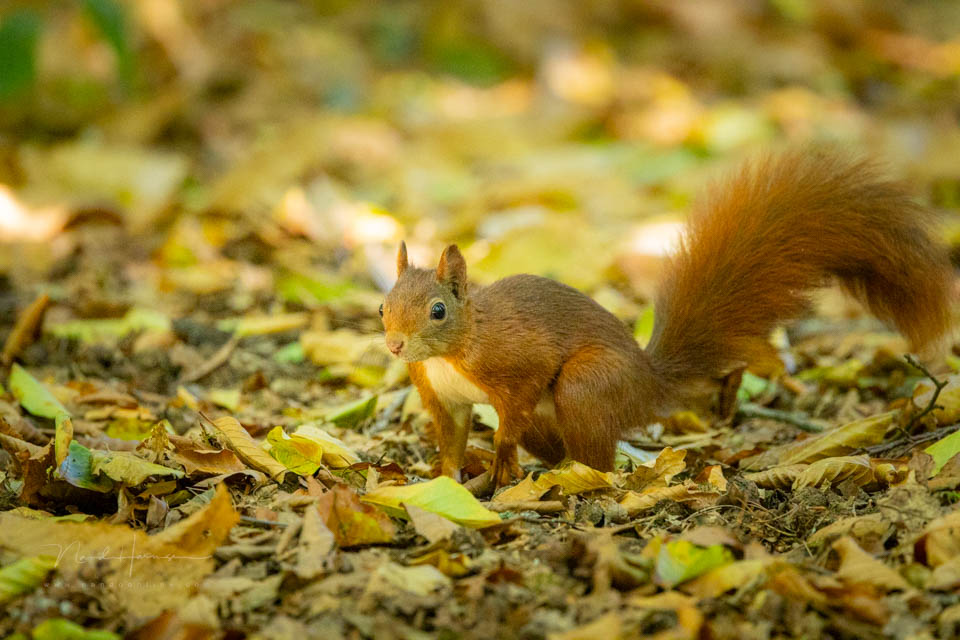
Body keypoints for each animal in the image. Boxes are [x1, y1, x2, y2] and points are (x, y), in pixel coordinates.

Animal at [380, 149, 954, 487]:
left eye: (438, 311)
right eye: (383, 305)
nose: (395, 345)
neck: (457, 349)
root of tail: (647, 383)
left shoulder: (517, 365)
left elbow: (511, 416)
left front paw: (500, 462)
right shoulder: (443, 397)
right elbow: (450, 440)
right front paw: (444, 478)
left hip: (585, 385)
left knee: (599, 457)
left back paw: (569, 476)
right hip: (557, 416)